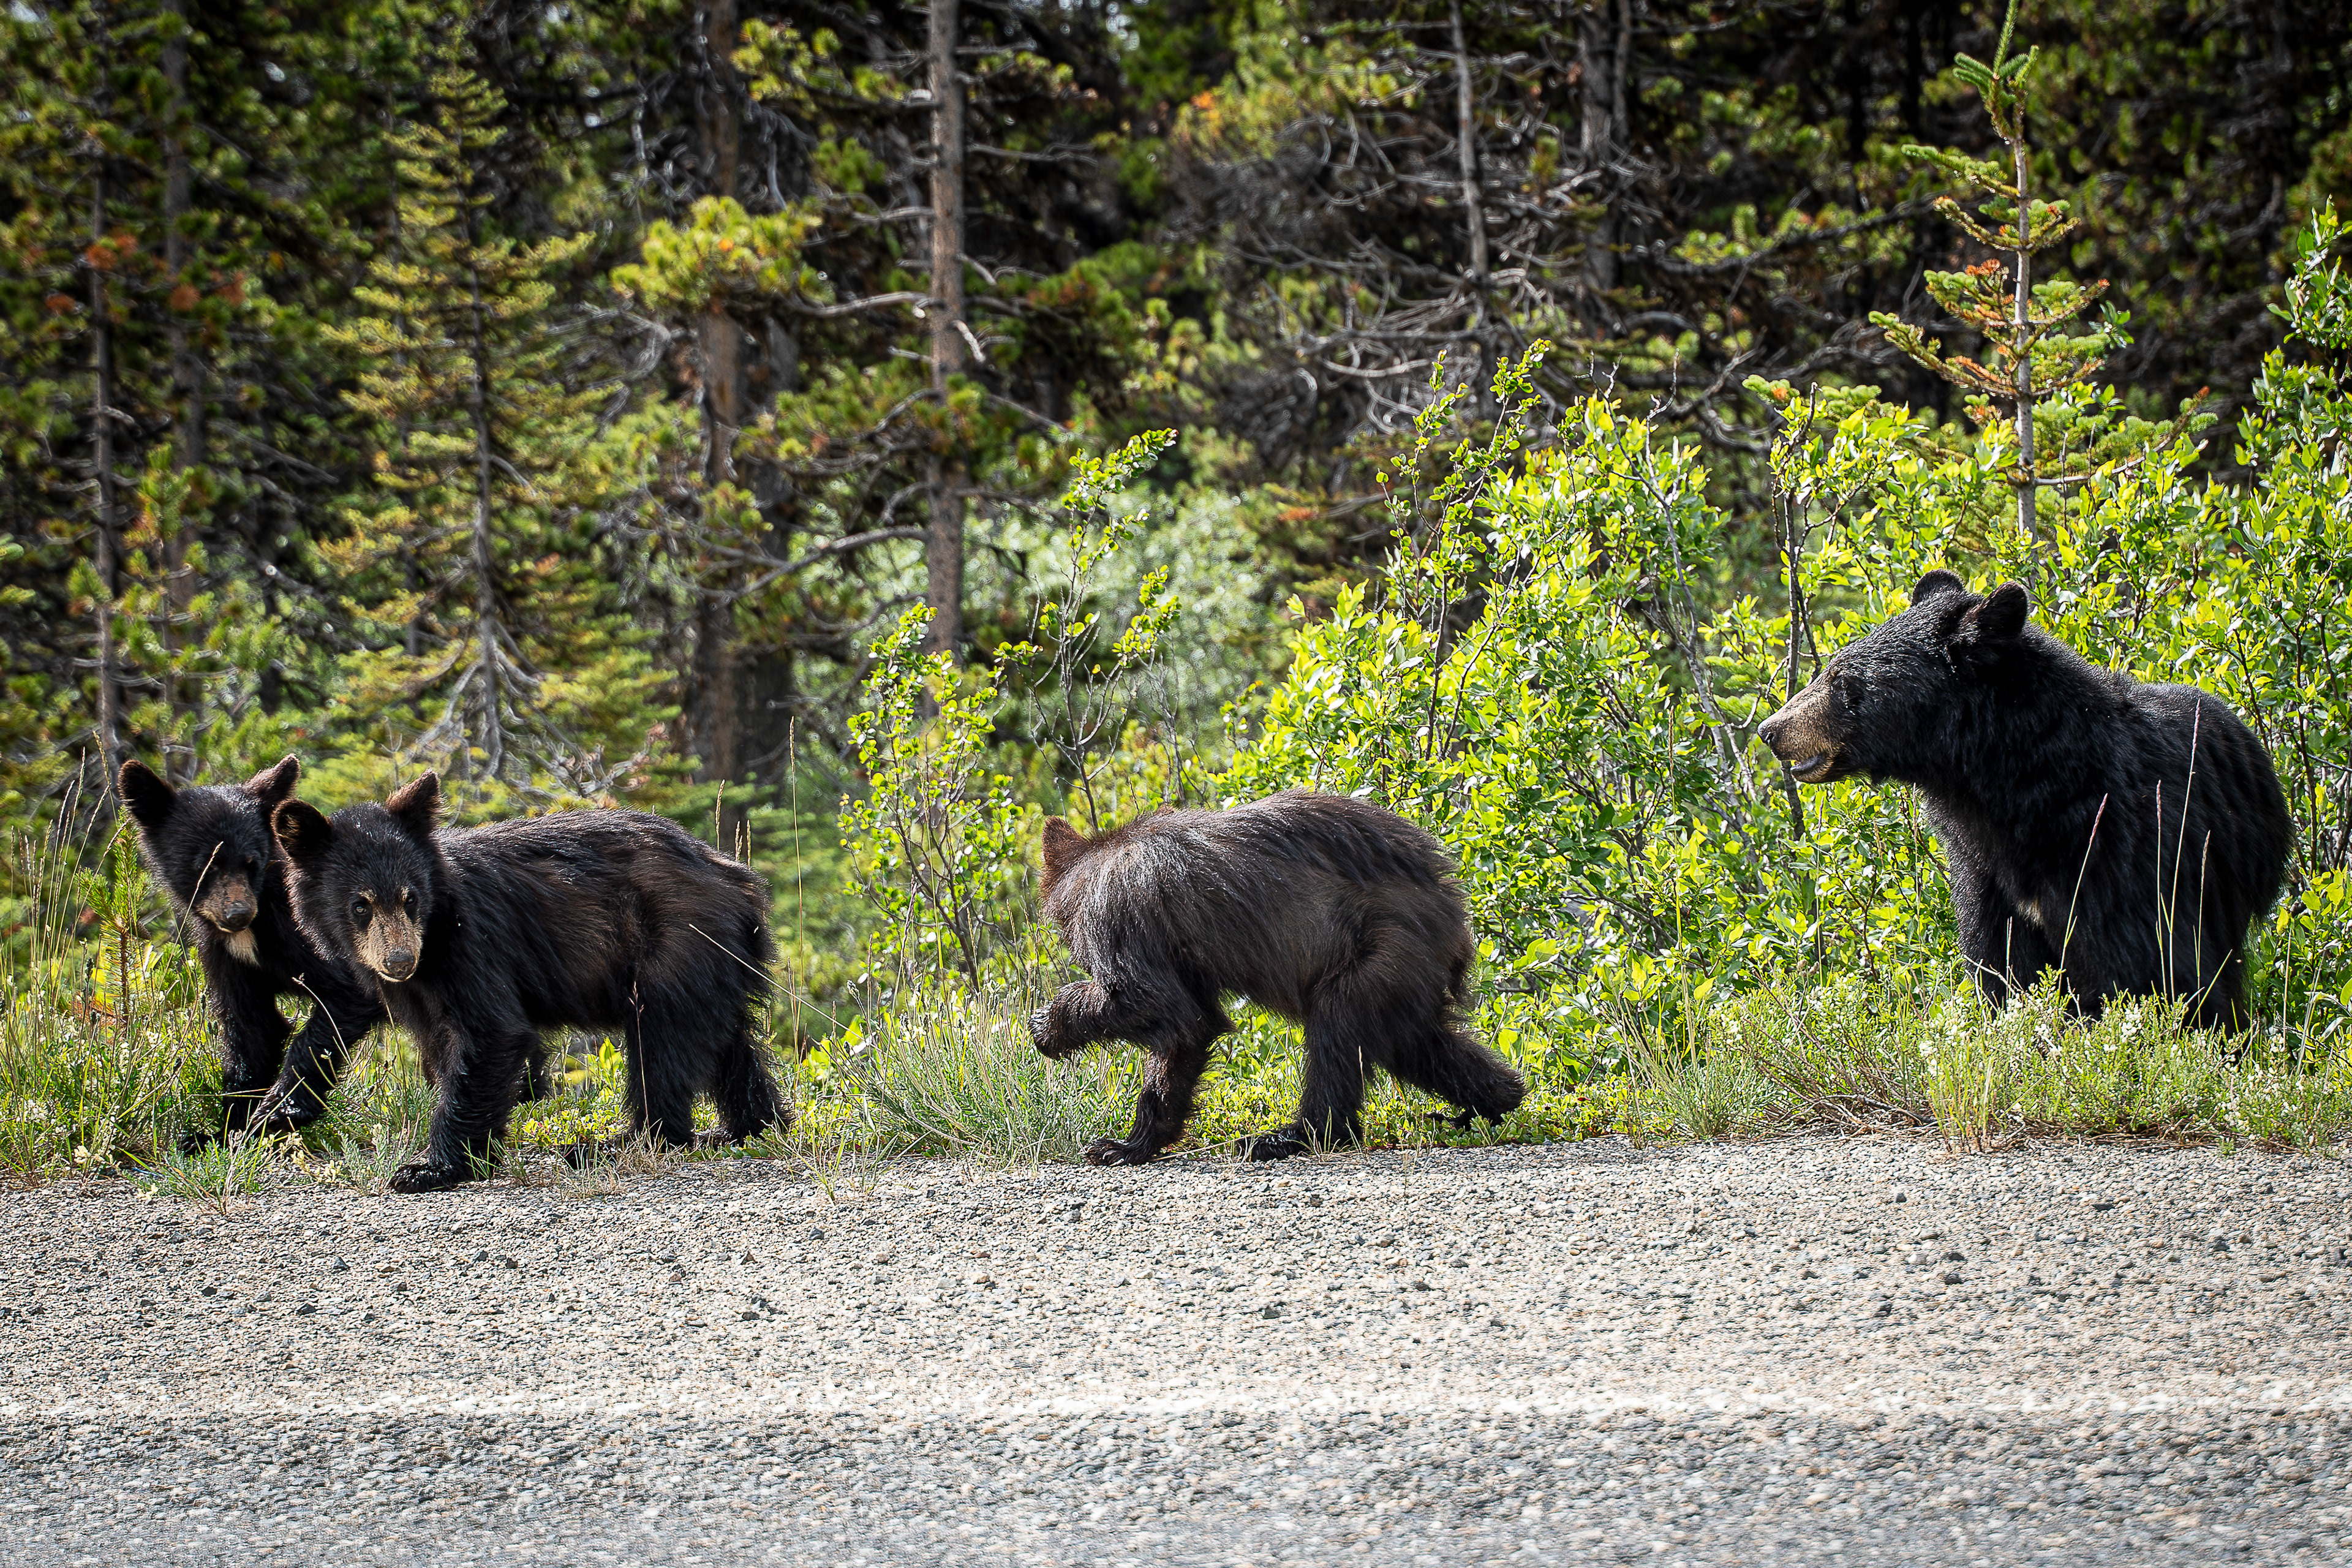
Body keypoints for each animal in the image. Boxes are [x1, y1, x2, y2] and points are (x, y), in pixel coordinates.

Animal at [117, 756, 388, 1140]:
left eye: (252, 861)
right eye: (206, 865)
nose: (238, 913)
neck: (253, 932)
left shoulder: (322, 941)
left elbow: (343, 1004)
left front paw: (280, 1112)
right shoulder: (227, 956)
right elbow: (252, 1031)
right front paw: (225, 1132)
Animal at [269, 772, 784, 1192]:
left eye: (409, 898)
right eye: (361, 904)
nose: (399, 960)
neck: (433, 938)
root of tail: (744, 885)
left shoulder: (472, 945)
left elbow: (493, 1033)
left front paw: (430, 1168)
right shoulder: (416, 989)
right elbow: (441, 1045)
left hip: (674, 949)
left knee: (660, 1046)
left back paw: (619, 1144)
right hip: (712, 967)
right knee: (727, 1046)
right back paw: (747, 1127)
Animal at [1029, 789, 1526, 1164]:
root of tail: (1457, 921)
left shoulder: (1121, 916)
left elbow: (1147, 998)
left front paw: (1046, 1025)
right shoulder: (1185, 962)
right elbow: (1191, 1028)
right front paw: (1127, 1144)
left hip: (1377, 951)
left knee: (1336, 1033)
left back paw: (1285, 1137)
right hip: (1404, 974)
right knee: (1424, 1045)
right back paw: (1494, 1104)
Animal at [1759, 569, 2292, 1029]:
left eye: (1845, 682)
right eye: (1830, 669)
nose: (1772, 730)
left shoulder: (2124, 854)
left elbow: (2153, 971)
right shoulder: (1986, 876)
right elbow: (2005, 966)